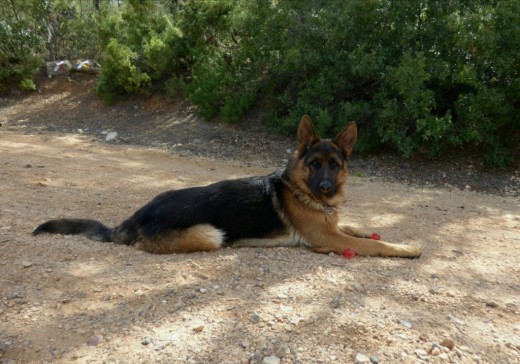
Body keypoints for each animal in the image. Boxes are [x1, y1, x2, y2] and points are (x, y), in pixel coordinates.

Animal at [32, 115, 422, 258]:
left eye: (335, 165)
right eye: (314, 164)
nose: (325, 188)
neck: (302, 189)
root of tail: (138, 214)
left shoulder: (332, 225)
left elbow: (353, 227)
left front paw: (368, 228)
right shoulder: (327, 238)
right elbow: (374, 245)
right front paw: (406, 247)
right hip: (211, 234)